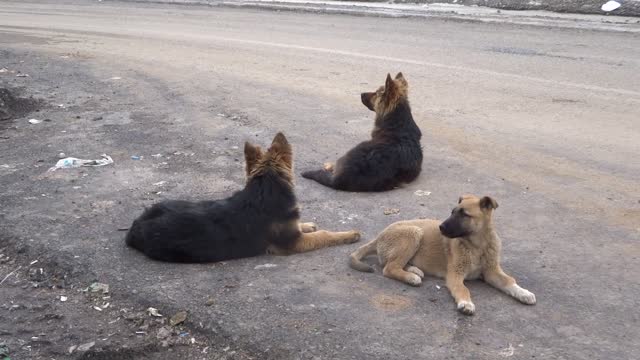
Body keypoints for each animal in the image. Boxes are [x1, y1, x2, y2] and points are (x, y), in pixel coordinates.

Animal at [126, 132, 360, 262]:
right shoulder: (293, 243)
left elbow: (305, 226)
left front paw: (308, 224)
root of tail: (135, 227)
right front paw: (348, 234)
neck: (265, 189)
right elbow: (324, 235)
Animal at [350, 194, 536, 316]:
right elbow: (463, 289)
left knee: (393, 264)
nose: (441, 227)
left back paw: (414, 270)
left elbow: (509, 281)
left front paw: (524, 293)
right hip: (414, 232)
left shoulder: (492, 272)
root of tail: (379, 236)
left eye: (464, 214)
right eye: (452, 212)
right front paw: (466, 303)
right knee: (389, 267)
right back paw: (411, 277)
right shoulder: (455, 275)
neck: (477, 245)